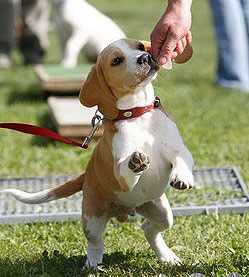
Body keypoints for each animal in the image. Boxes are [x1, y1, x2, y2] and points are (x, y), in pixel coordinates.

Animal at [0, 38, 195, 268]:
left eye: (139, 46)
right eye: (116, 61)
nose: (145, 57)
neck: (137, 116)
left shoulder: (178, 149)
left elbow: (181, 159)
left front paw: (182, 177)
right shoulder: (120, 173)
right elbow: (125, 169)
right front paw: (135, 162)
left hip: (162, 211)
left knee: (149, 228)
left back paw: (166, 256)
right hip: (91, 218)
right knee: (95, 242)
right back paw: (92, 264)